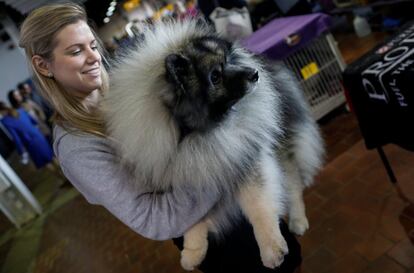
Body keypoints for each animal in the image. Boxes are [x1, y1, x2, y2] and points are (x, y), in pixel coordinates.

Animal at [103, 19, 324, 270]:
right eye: (215, 77)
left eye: (228, 60)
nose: (254, 73)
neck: (200, 135)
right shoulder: (188, 180)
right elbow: (191, 223)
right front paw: (192, 252)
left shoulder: (244, 160)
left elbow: (259, 207)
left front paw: (271, 248)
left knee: (293, 182)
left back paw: (298, 220)